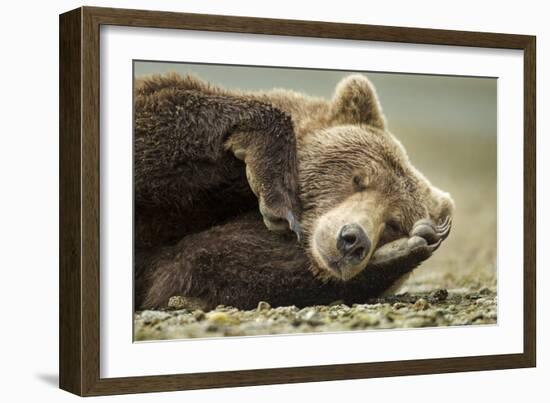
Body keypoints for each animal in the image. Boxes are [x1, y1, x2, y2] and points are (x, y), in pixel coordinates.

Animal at [135, 73, 458, 312]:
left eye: (394, 223)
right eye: (358, 179)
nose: (353, 240)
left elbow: (192, 267)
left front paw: (404, 249)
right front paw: (276, 195)